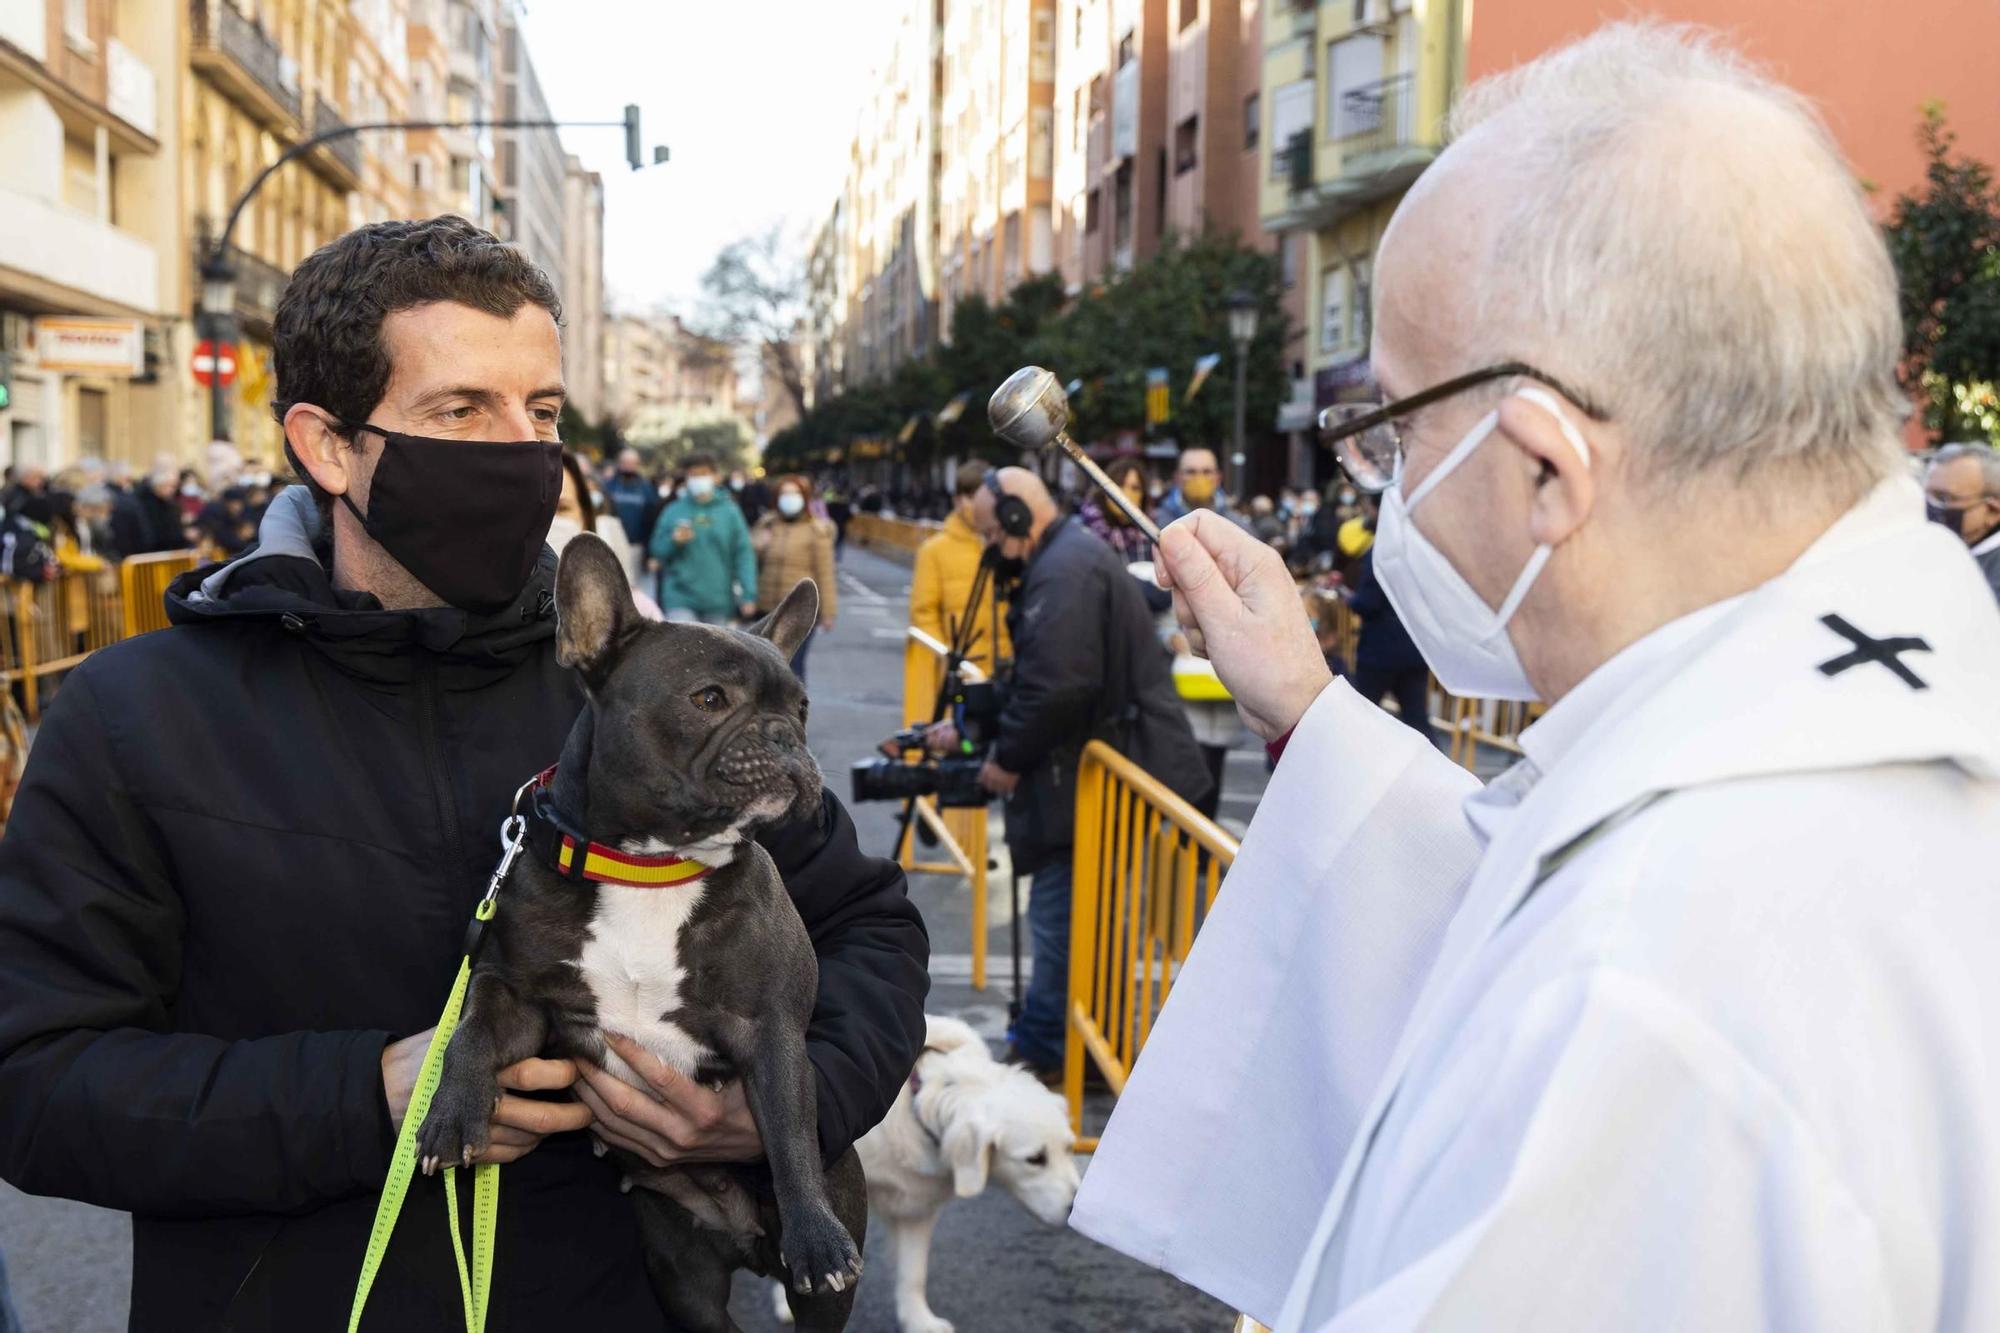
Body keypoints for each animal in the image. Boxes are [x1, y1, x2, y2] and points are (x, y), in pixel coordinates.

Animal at [772, 1012, 1080, 1320]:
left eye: (1068, 1148)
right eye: (1035, 1159)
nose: (1073, 1209)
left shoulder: (917, 1210)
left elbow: (914, 1272)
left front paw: (918, 1320)